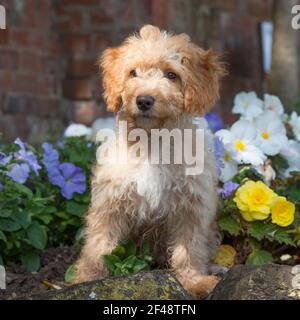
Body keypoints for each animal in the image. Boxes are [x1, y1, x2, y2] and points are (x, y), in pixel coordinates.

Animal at [75, 24, 225, 298]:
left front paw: (193, 282)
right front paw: (87, 280)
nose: (144, 100)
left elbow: (189, 248)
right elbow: (98, 245)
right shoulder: (110, 202)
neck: (152, 141)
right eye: (133, 72)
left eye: (171, 75)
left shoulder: (191, 206)